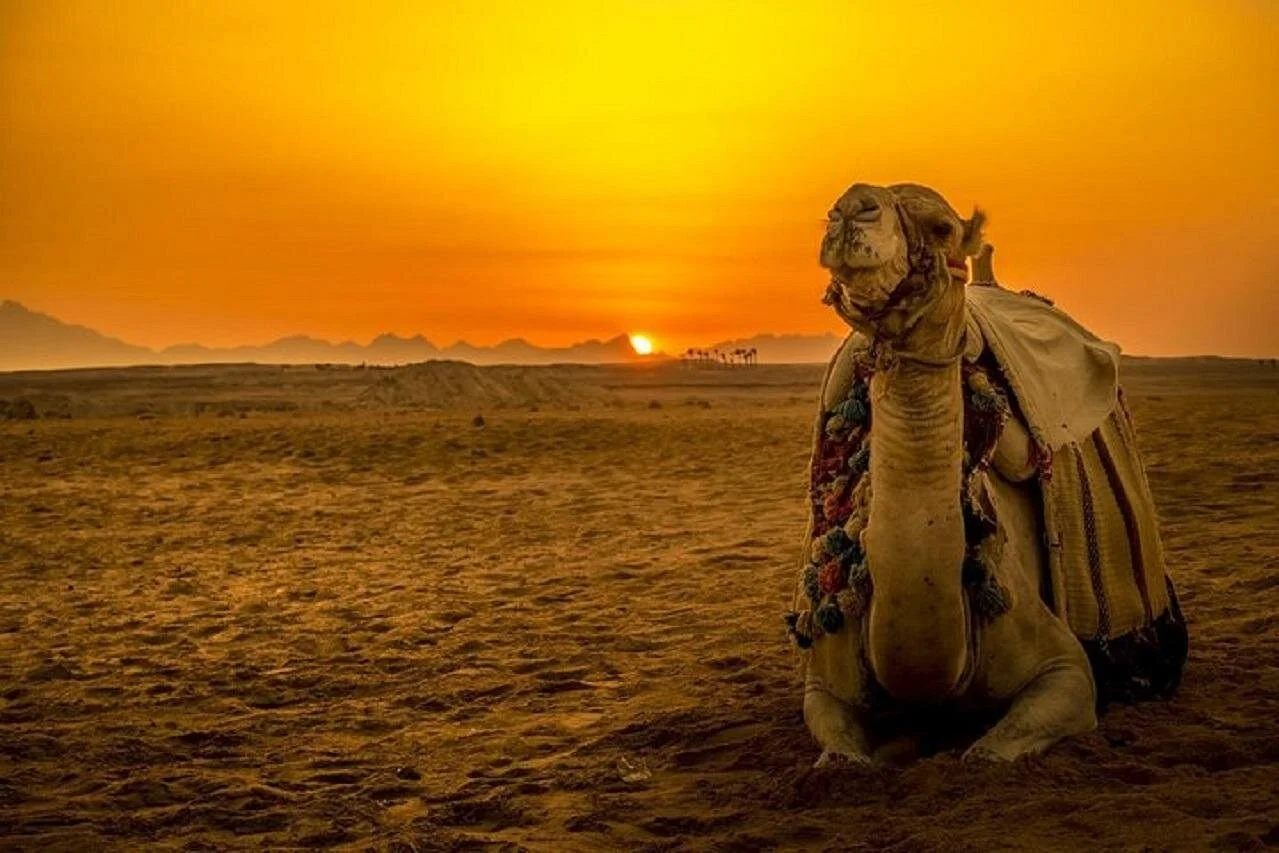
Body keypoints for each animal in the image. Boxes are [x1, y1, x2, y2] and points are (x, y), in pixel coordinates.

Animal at [793, 182, 1185, 765]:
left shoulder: (1065, 670)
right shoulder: (824, 683)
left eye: (941, 227)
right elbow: (839, 757)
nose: (851, 207)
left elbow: (986, 755)